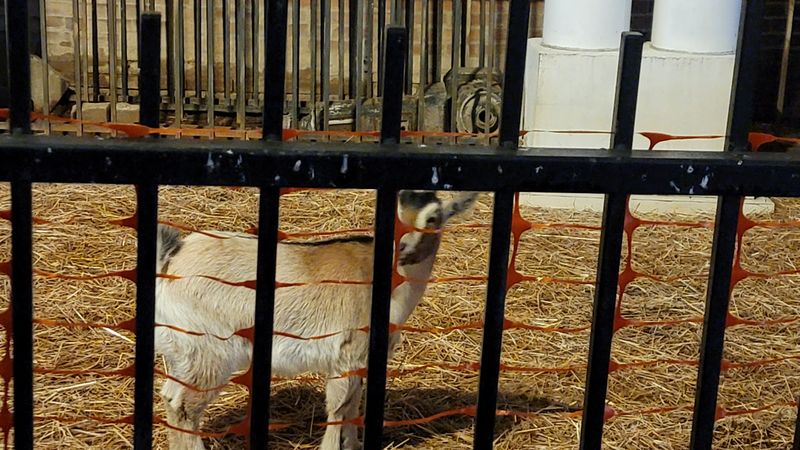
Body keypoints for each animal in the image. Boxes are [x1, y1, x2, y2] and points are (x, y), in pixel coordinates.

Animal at [154, 190, 479, 449]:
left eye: (433, 218)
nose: (403, 247)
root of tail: (172, 261)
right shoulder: (346, 355)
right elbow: (338, 407)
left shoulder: (361, 362)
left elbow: (353, 406)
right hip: (212, 350)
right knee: (184, 406)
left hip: (185, 352)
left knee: (170, 397)